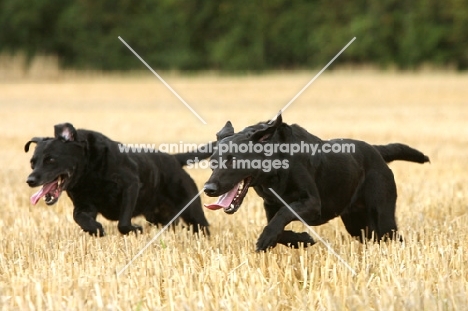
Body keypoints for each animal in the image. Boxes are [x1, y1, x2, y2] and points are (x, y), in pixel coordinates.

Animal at [23, 123, 210, 238]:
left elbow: (123, 224)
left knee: (201, 226)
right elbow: (80, 218)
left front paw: (136, 229)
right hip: (159, 216)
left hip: (191, 210)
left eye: (51, 160)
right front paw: (96, 230)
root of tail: (174, 159)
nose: (30, 180)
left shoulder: (131, 186)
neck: (88, 172)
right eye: (32, 162)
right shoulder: (84, 205)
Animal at [203, 116, 430, 252]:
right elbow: (279, 227)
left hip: (382, 217)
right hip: (357, 224)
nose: (208, 189)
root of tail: (377, 151)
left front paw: (266, 239)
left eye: (233, 160)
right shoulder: (270, 205)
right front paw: (301, 239)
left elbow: (283, 215)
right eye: (213, 161)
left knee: (394, 237)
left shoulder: (312, 203)